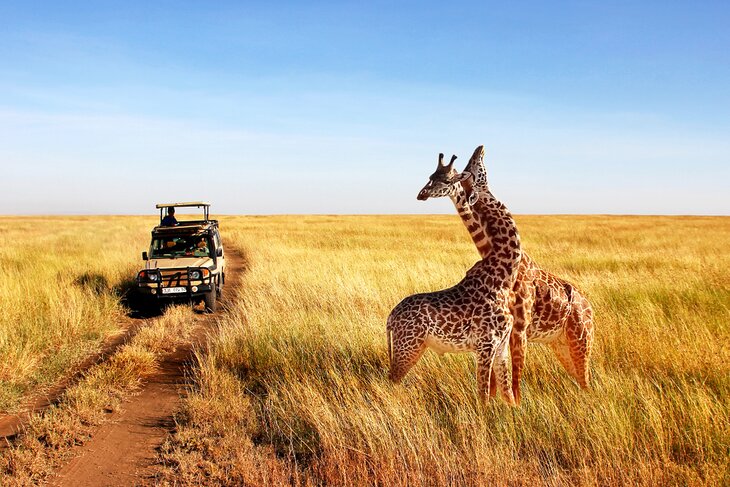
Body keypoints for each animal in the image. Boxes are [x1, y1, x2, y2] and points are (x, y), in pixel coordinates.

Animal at [386, 155, 524, 404]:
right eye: (431, 177)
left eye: (446, 178)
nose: (421, 194)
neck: (503, 277)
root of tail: (390, 317)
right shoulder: (485, 345)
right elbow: (483, 395)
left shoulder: (501, 346)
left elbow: (507, 393)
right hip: (408, 347)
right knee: (392, 379)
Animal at [418, 146, 596, 400]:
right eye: (431, 176)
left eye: (447, 178)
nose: (421, 194)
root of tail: (590, 307)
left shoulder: (518, 328)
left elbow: (513, 378)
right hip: (561, 344)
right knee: (580, 380)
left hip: (581, 340)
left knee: (586, 380)